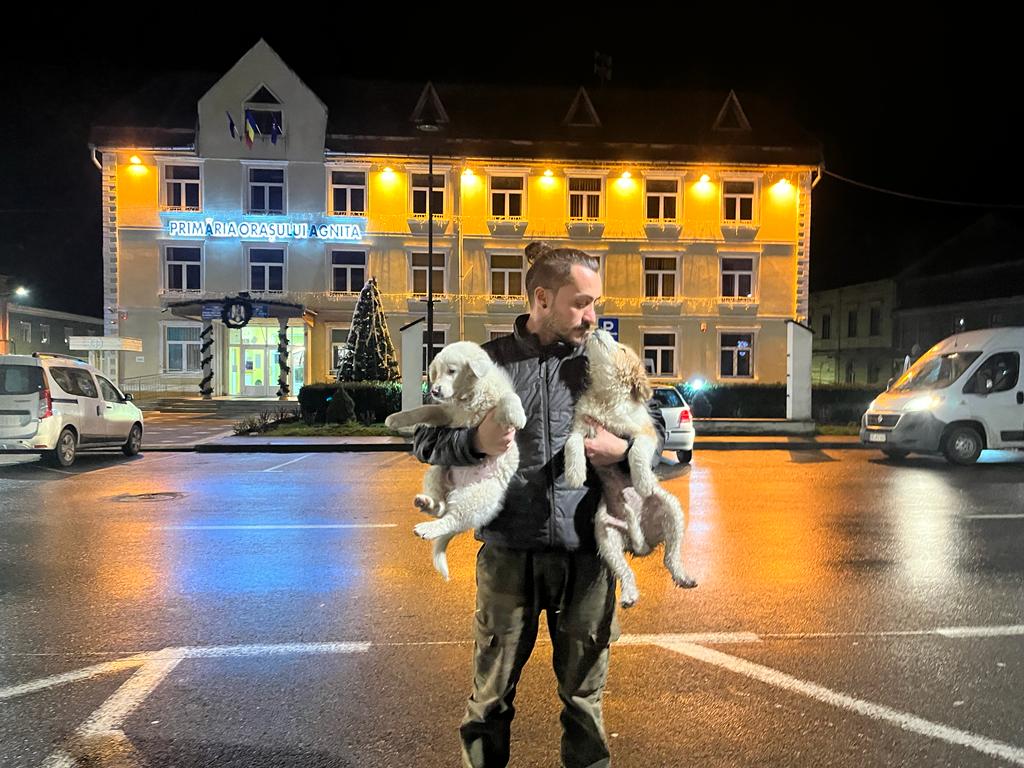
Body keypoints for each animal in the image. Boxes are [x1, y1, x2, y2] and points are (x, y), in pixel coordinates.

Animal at [385, 342, 525, 580]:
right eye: (436, 372)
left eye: (451, 371)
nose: (434, 390)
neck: (467, 396)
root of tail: (456, 489)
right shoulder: (446, 411)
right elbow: (424, 409)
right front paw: (396, 418)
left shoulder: (496, 404)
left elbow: (509, 398)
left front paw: (518, 416)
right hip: (437, 471)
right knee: (441, 507)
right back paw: (425, 504)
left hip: (477, 496)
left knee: (452, 518)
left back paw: (427, 528)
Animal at [564, 328, 697, 606]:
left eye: (622, 349)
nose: (599, 328)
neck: (607, 398)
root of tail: (641, 542)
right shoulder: (580, 427)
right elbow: (572, 444)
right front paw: (574, 474)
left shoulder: (646, 434)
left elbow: (635, 451)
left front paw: (642, 481)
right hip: (605, 536)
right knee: (625, 571)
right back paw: (629, 595)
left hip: (673, 511)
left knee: (671, 558)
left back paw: (684, 577)